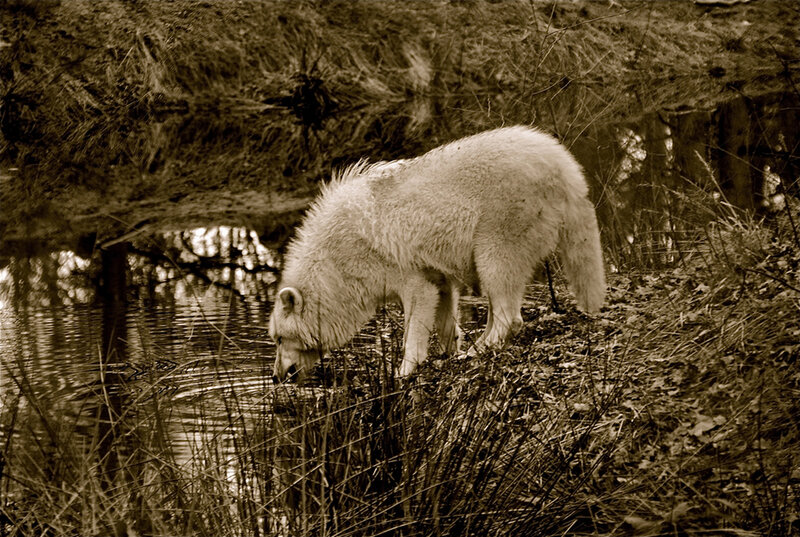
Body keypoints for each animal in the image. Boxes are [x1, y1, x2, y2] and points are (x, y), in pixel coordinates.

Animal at [269, 126, 605, 382]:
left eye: (279, 338)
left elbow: (415, 322)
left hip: (498, 237)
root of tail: (564, 165)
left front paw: (405, 371)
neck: (334, 261)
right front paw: (448, 353)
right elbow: (445, 316)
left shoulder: (404, 273)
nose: (275, 376)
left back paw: (478, 349)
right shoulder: (437, 275)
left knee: (507, 309)